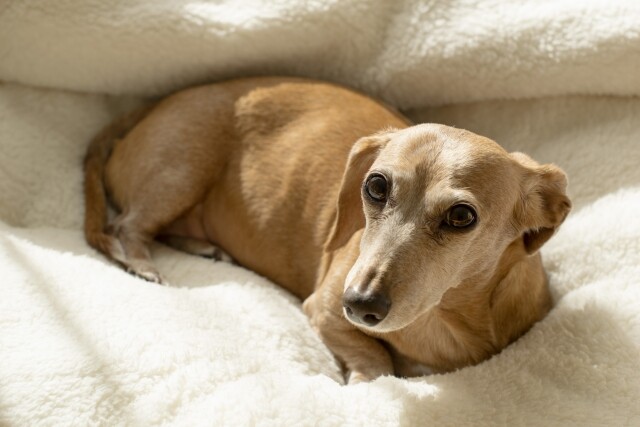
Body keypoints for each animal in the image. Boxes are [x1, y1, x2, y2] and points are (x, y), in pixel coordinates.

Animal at [84, 77, 568, 384]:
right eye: (376, 186)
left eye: (462, 216)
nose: (359, 303)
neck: (445, 319)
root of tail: (148, 109)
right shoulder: (324, 310)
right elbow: (376, 358)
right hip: (180, 172)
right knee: (123, 228)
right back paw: (143, 266)